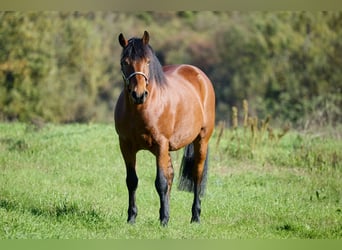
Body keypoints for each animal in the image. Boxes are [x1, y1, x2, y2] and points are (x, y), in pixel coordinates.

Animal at [115, 31, 216, 227]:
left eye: (147, 61)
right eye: (124, 62)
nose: (139, 94)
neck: (141, 110)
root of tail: (199, 75)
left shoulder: (161, 144)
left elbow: (160, 182)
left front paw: (163, 220)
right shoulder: (126, 146)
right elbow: (132, 181)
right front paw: (132, 218)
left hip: (201, 141)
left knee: (197, 176)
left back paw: (195, 216)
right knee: (171, 175)